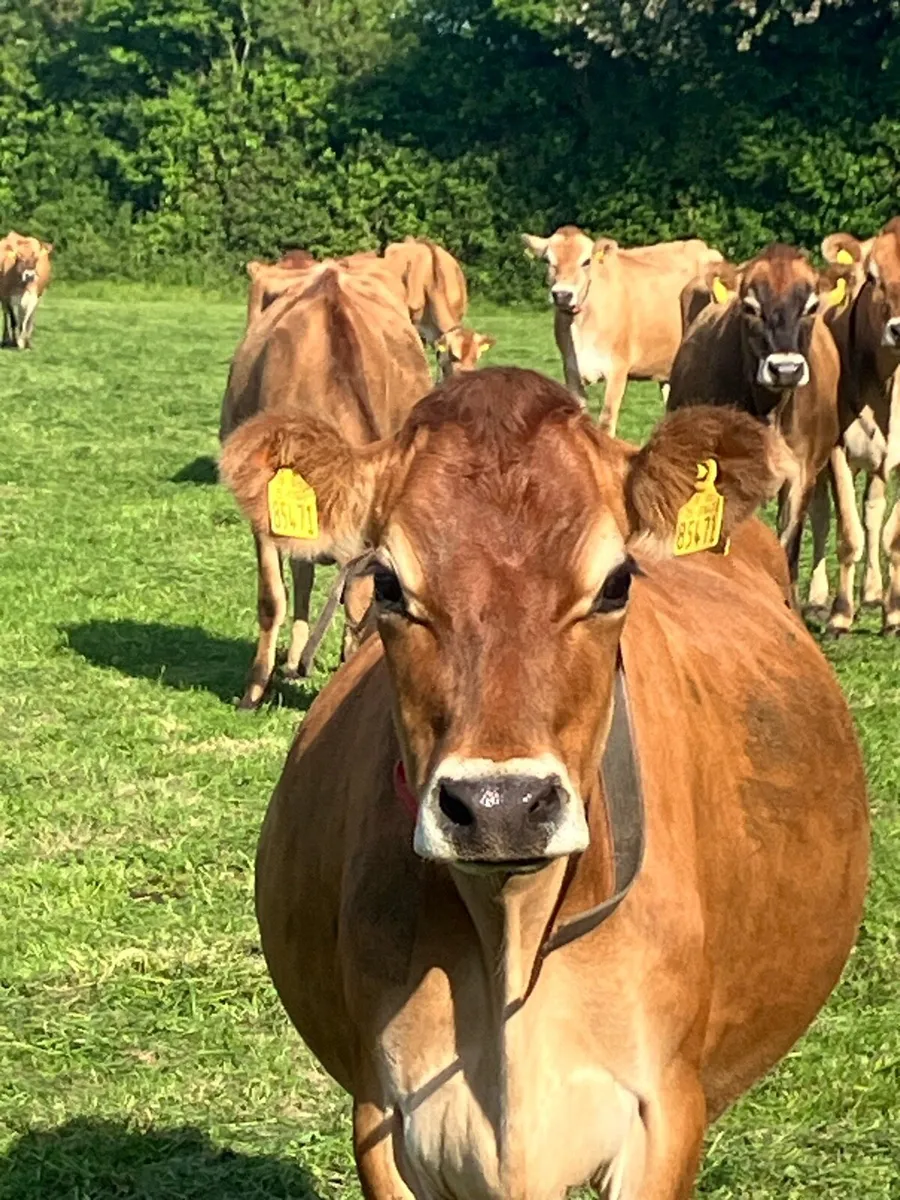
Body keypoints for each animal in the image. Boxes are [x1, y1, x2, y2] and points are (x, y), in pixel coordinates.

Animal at [219, 366, 868, 1200]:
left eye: (618, 581)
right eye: (389, 584)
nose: (500, 807)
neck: (512, 936)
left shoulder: (662, 1114)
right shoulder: (384, 1117)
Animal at [521, 226, 723, 435]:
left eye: (586, 261)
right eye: (547, 260)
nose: (562, 294)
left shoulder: (617, 369)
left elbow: (606, 422)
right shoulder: (571, 372)